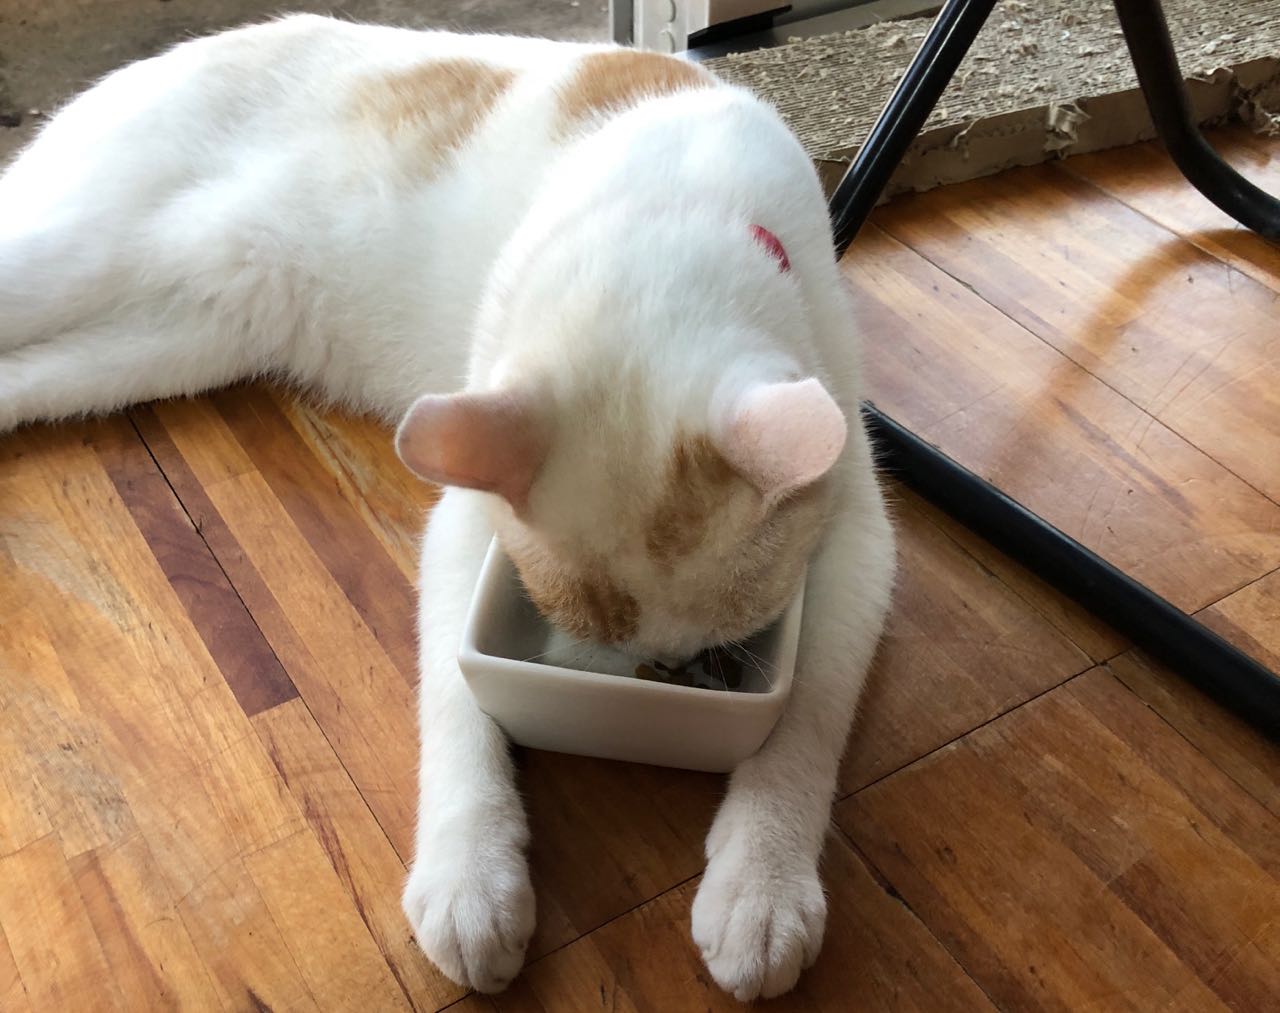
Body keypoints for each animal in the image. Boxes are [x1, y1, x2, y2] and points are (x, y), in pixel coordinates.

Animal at [0, 14, 896, 1000]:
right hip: (80, 257)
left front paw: (762, 887)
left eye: (695, 651)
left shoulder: (860, 535)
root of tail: (192, 45)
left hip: (156, 341)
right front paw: (471, 877)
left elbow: (810, 710)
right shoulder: (463, 524)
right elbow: (457, 702)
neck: (675, 219)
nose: (652, 678)